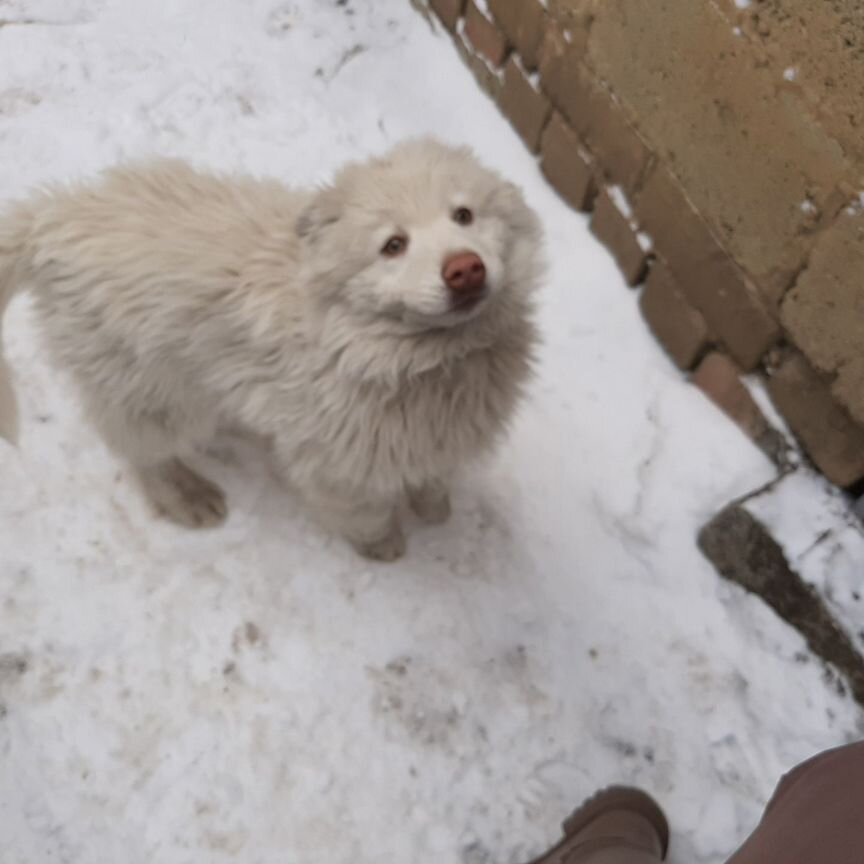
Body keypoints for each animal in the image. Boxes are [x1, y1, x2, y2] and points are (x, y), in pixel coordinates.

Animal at [0, 142, 540, 560]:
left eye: (464, 215)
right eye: (393, 245)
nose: (465, 269)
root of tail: (51, 221)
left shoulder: (433, 434)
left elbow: (431, 475)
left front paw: (432, 504)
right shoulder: (336, 460)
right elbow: (365, 509)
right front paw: (383, 545)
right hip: (152, 386)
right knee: (142, 452)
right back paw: (187, 497)